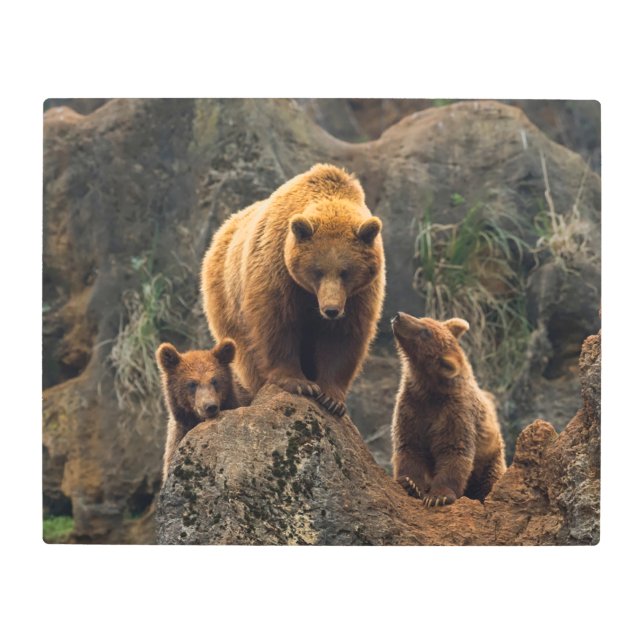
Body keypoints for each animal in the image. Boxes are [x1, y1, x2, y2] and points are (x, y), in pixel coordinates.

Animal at [201, 163, 385, 417]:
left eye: (345, 272)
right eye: (317, 270)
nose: (330, 310)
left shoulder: (359, 295)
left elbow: (343, 336)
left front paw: (331, 397)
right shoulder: (277, 270)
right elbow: (277, 323)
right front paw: (299, 383)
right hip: (227, 299)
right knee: (246, 351)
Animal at [390, 312, 506, 508]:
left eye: (425, 332)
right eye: (424, 319)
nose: (399, 316)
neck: (429, 390)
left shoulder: (455, 413)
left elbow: (453, 452)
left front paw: (438, 496)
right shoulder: (411, 406)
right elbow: (409, 446)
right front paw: (410, 483)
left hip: (490, 459)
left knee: (490, 481)